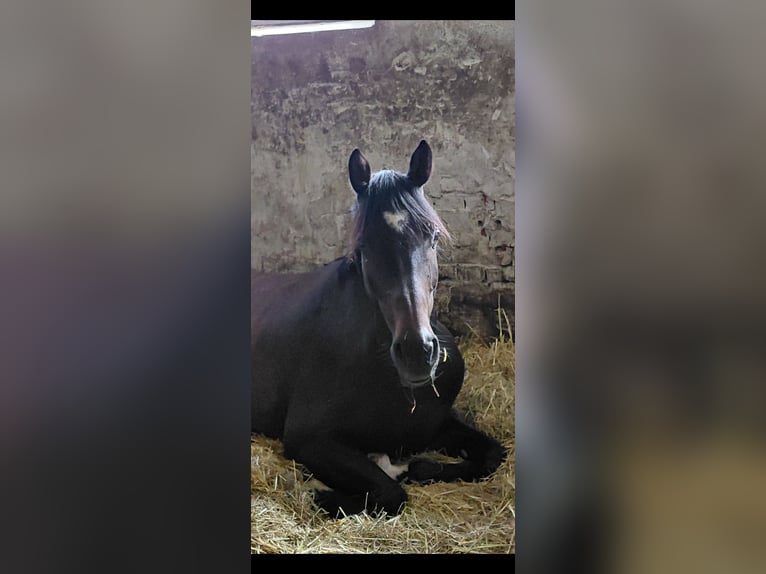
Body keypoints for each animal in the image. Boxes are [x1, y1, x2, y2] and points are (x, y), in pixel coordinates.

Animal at [251, 140, 506, 517]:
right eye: (365, 247)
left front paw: (421, 467)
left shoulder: (437, 425)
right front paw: (322, 496)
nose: (417, 352)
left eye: (432, 237)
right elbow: (391, 493)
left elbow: (492, 455)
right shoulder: (309, 439)